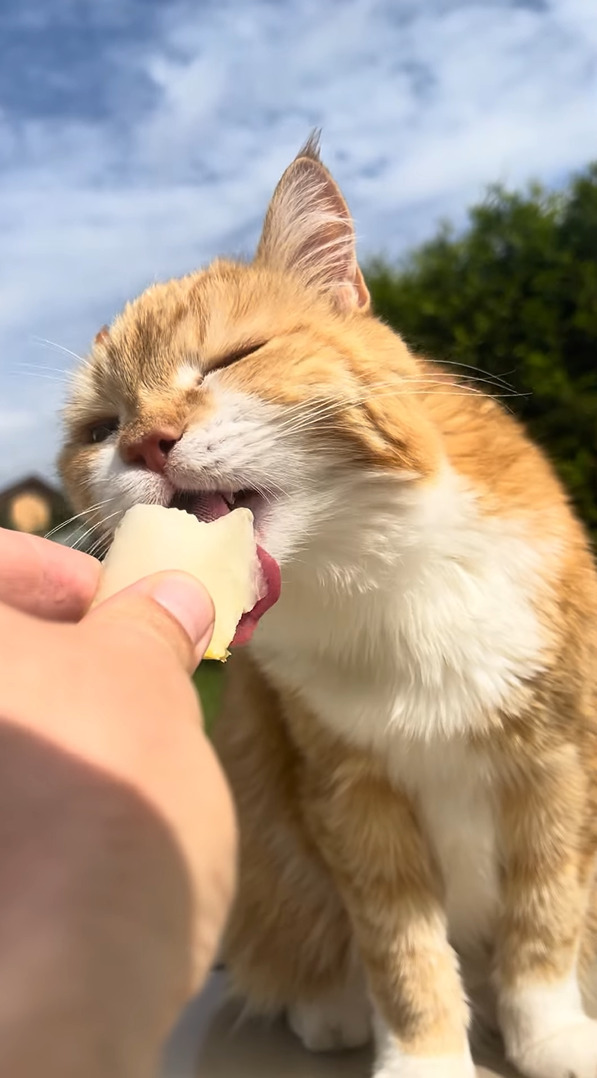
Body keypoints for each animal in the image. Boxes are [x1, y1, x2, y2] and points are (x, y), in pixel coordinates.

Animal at [58, 136, 594, 1078]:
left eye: (234, 356)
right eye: (99, 428)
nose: (146, 441)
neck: (370, 568)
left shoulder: (555, 759)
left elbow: (545, 916)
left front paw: (551, 1035)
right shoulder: (347, 793)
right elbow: (399, 947)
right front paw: (425, 1059)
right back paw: (329, 1010)